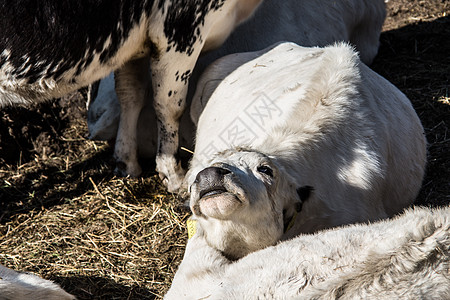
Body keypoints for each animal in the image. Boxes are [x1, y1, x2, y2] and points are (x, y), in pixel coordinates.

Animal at [0, 0, 262, 190]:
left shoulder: (131, 45)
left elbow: (130, 93)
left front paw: (126, 162)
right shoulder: (179, 30)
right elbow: (169, 106)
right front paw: (173, 174)